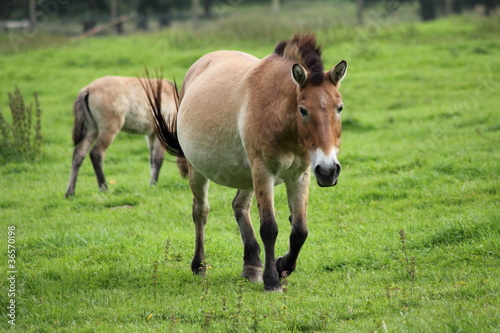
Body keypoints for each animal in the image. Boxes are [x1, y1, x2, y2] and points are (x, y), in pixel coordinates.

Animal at [146, 32, 346, 290]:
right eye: (302, 110)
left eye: (339, 107)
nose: (329, 171)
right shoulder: (263, 171)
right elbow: (269, 228)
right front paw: (272, 281)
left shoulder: (300, 175)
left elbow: (300, 230)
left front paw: (282, 266)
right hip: (198, 170)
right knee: (200, 212)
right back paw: (199, 266)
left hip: (246, 175)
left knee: (239, 207)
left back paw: (251, 266)